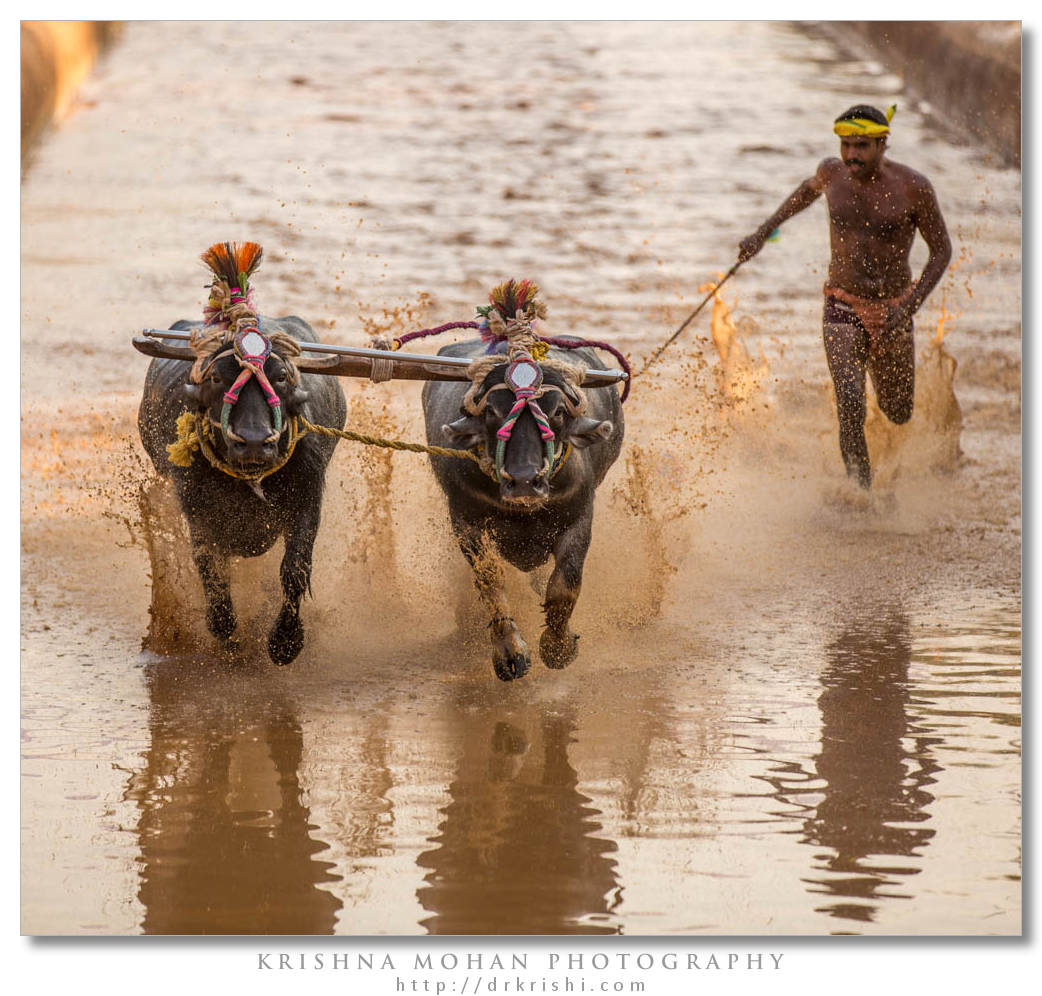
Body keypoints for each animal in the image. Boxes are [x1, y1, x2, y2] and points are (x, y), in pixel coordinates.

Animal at [136, 241, 348, 666]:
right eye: (218, 377)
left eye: (280, 376)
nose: (253, 441)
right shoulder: (195, 507)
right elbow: (210, 568)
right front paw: (225, 630)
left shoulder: (308, 498)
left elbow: (295, 568)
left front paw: (285, 641)